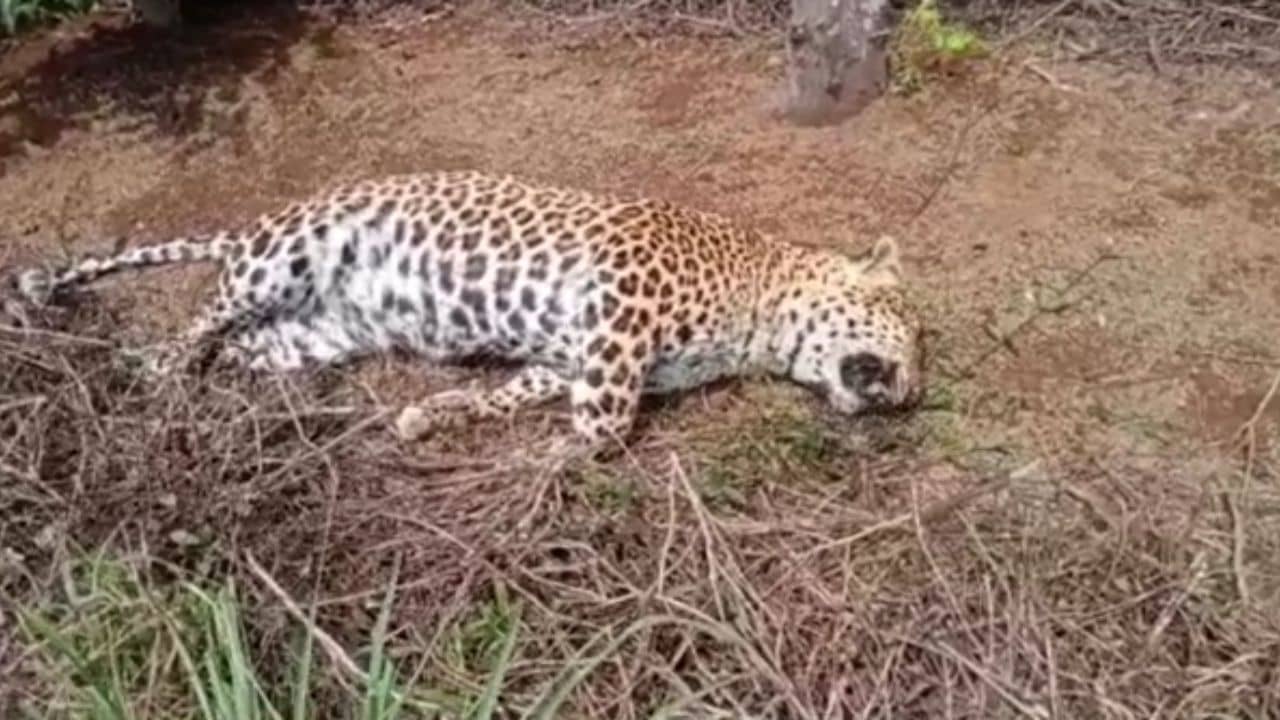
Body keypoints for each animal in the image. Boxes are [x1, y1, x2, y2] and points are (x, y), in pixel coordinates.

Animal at [14, 170, 926, 453]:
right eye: (909, 333)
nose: (910, 393)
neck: (756, 314)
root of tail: (254, 226)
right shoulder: (619, 302)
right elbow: (609, 420)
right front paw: (582, 443)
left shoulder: (571, 353)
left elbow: (511, 393)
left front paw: (438, 413)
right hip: (284, 256)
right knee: (204, 320)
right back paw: (162, 371)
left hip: (311, 334)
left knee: (240, 350)